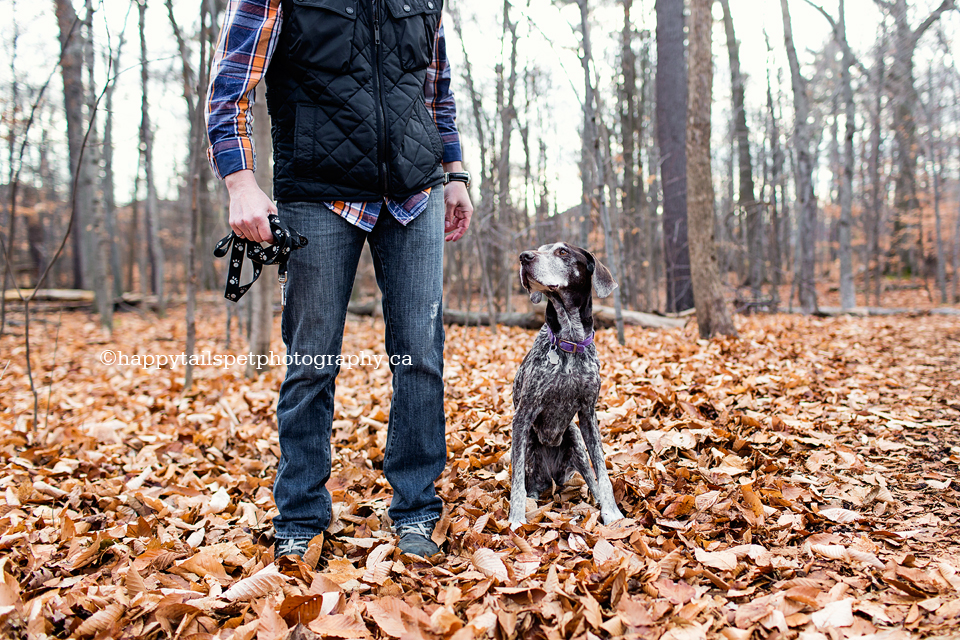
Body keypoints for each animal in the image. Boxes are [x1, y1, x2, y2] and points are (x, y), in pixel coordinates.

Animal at [506, 242, 628, 528]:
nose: (524, 257)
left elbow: (602, 471)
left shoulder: (588, 414)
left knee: (590, 476)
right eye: (540, 249)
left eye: (562, 252)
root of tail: (553, 478)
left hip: (574, 436)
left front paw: (612, 512)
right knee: (528, 483)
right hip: (530, 442)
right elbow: (516, 482)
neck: (570, 342)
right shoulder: (523, 416)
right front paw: (515, 520)